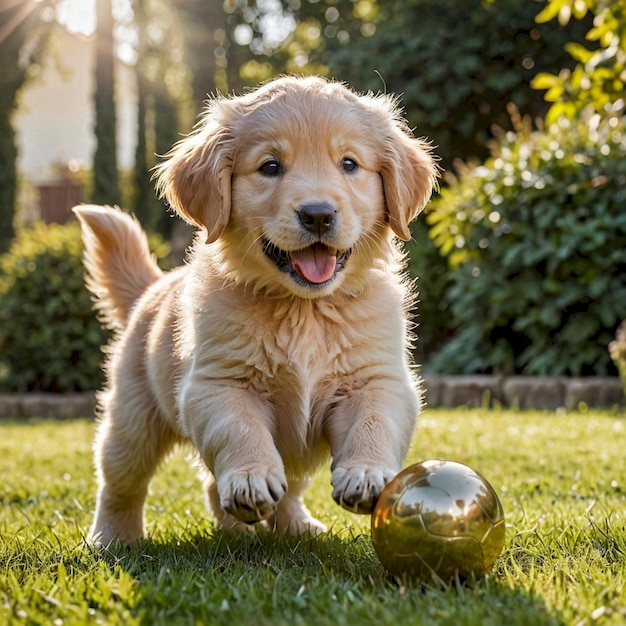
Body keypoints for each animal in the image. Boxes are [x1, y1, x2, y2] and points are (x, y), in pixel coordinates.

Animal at [74, 73, 434, 544]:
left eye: (349, 164)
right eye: (270, 167)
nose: (318, 215)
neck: (304, 308)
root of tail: (153, 288)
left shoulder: (377, 378)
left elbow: (374, 421)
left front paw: (367, 473)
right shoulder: (217, 384)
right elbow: (239, 428)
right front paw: (250, 476)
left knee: (261, 488)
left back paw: (287, 526)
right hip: (132, 419)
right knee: (121, 481)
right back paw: (113, 537)